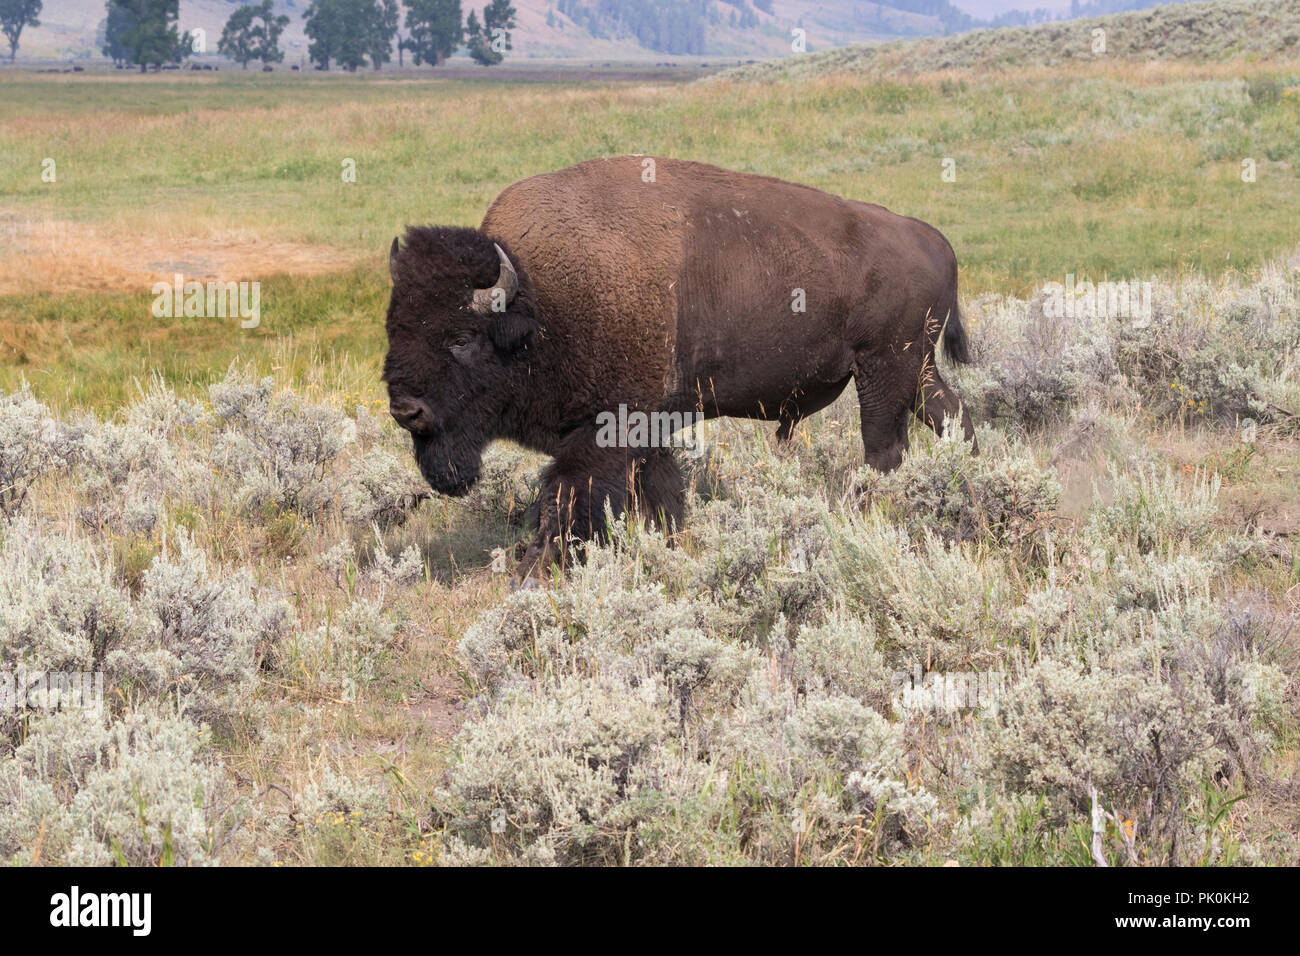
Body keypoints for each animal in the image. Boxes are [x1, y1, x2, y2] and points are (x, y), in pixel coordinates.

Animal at [382, 155, 977, 582]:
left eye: (461, 337)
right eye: (393, 326)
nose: (406, 409)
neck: (541, 299)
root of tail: (933, 239)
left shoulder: (606, 428)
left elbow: (567, 495)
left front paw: (534, 571)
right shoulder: (648, 427)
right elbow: (660, 490)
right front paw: (668, 543)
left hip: (883, 368)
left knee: (884, 449)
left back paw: (860, 513)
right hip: (914, 369)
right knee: (952, 415)